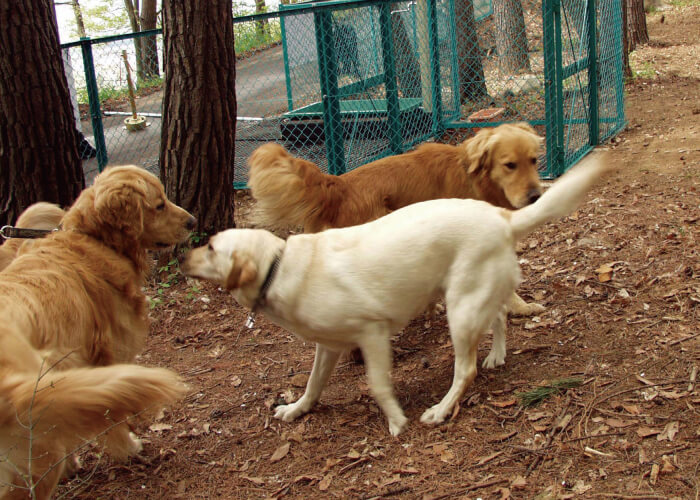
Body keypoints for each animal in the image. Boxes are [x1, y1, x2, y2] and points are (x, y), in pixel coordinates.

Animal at [0, 166, 194, 498]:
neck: (96, 241)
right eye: (159, 205)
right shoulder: (105, 358)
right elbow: (111, 417)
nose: (193, 222)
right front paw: (128, 448)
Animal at [185, 154, 608, 436]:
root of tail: (500, 215)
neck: (279, 264)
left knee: (465, 369)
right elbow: (313, 385)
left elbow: (377, 384)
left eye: (211, 248)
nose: (185, 253)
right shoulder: (329, 347)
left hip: (459, 311)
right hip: (471, 295)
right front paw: (296, 409)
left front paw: (395, 419)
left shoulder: (371, 334)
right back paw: (497, 355)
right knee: (500, 316)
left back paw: (440, 410)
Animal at [250, 121, 548, 316]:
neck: (474, 178)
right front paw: (520, 307)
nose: (536, 196)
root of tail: (339, 184)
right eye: (510, 165)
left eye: (534, 160)